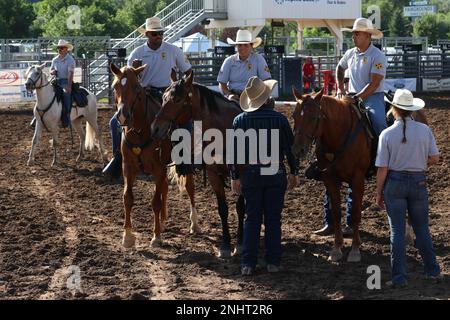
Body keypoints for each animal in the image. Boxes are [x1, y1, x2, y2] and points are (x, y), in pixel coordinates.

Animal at [109, 62, 199, 248]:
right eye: (115, 87)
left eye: (137, 88)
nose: (123, 116)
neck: (140, 131)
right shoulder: (128, 167)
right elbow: (127, 198)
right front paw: (127, 236)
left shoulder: (158, 168)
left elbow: (155, 202)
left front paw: (156, 237)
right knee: (164, 187)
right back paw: (163, 221)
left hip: (185, 162)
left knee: (189, 187)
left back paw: (194, 224)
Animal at [151, 70, 244, 258]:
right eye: (163, 97)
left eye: (177, 99)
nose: (155, 128)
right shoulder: (214, 174)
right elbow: (223, 209)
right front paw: (225, 245)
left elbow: (240, 207)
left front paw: (240, 243)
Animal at [290, 87, 370, 262]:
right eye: (294, 115)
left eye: (314, 117)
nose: (298, 149)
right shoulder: (330, 179)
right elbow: (336, 212)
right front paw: (336, 248)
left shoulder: (358, 179)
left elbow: (355, 214)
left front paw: (355, 250)